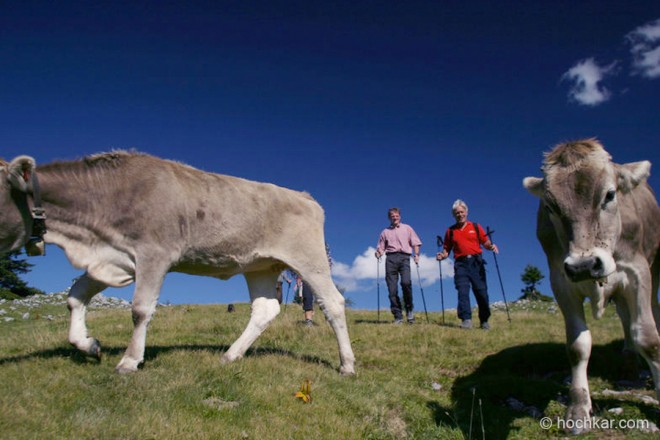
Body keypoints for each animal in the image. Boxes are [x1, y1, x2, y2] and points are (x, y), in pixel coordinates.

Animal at [0, 150, 356, 374]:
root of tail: (304, 196)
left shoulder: (154, 254)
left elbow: (140, 309)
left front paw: (130, 361)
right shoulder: (113, 258)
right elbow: (75, 297)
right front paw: (88, 345)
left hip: (309, 259)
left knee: (333, 303)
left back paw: (347, 364)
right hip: (260, 265)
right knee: (265, 310)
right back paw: (231, 355)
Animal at [524, 140, 656, 434]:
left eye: (609, 194)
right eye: (550, 206)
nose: (584, 266)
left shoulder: (637, 270)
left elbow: (649, 338)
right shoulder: (561, 279)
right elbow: (578, 346)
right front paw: (578, 410)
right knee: (624, 318)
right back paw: (628, 362)